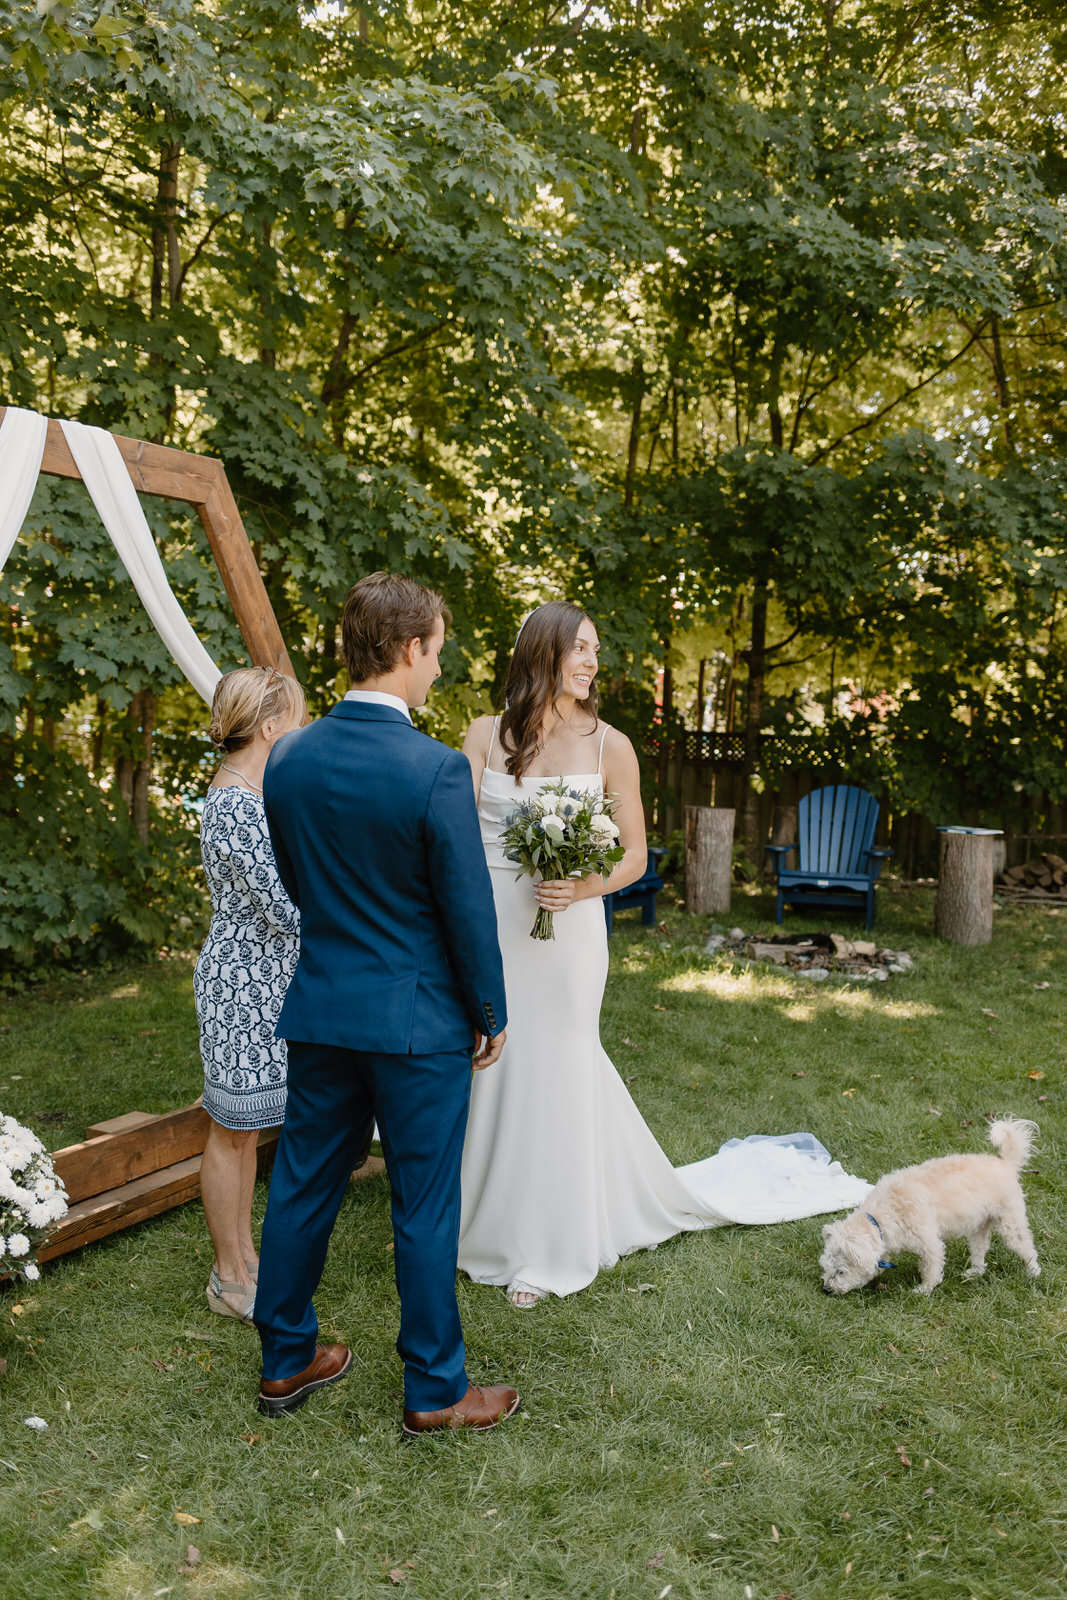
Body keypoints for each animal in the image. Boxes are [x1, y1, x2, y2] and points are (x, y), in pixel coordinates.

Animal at [819, 1120, 1043, 1292]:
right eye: (826, 1267)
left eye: (841, 1271)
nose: (827, 1290)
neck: (881, 1217)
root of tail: (1006, 1164)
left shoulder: (929, 1243)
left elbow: (931, 1268)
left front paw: (924, 1290)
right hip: (978, 1227)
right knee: (980, 1251)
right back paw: (974, 1272)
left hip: (1010, 1224)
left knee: (1027, 1247)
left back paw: (1033, 1272)